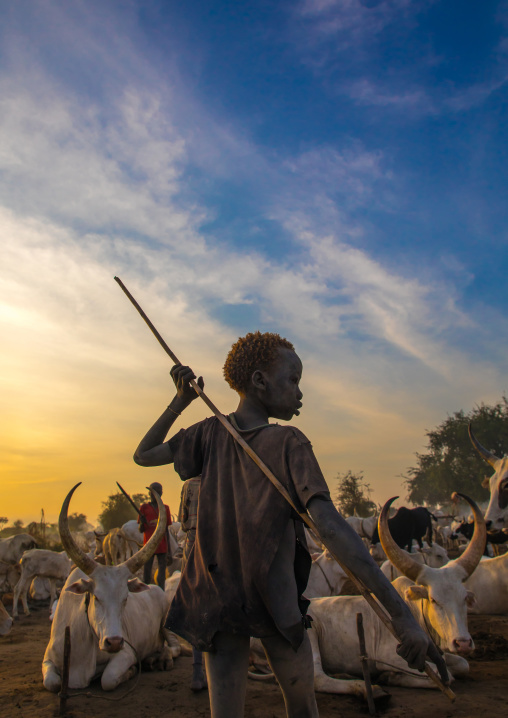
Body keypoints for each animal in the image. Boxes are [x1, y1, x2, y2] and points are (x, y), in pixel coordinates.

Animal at [42, 483, 173, 692]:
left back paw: (158, 660)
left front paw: (130, 672)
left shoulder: (127, 653)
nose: (114, 642)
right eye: (96, 597)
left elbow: (108, 679)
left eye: (125, 599)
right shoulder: (47, 659)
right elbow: (52, 683)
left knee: (172, 648)